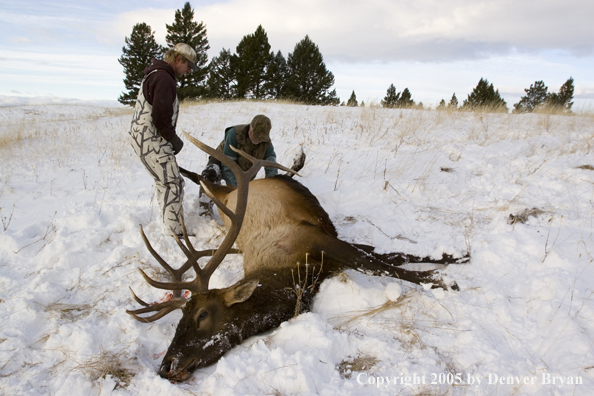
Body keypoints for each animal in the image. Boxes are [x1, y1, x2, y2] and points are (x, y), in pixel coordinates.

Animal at [126, 136, 468, 380]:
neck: (290, 277)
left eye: (201, 315)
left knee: (215, 179)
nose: (166, 366)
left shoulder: (314, 236)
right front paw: (450, 262)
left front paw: (446, 272)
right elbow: (386, 258)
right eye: (177, 321)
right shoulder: (326, 255)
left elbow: (380, 262)